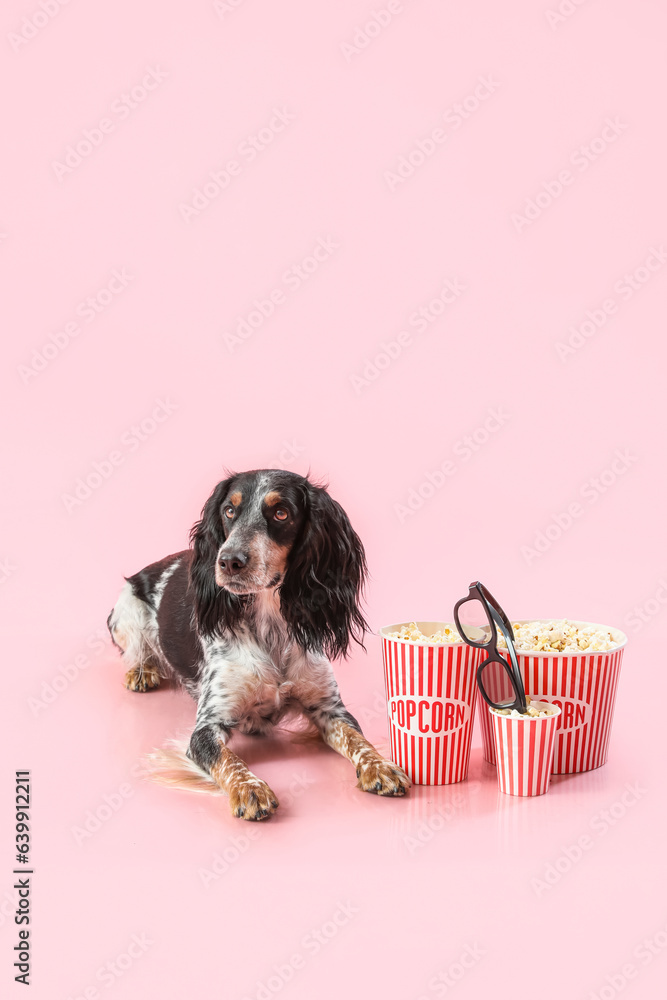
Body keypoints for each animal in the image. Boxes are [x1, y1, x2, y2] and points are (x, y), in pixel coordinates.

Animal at [107, 468, 410, 820]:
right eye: (229, 510)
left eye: (281, 513)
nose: (228, 561)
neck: (270, 627)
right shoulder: (206, 726)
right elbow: (229, 760)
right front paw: (249, 788)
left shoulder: (330, 708)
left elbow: (359, 740)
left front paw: (382, 766)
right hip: (125, 611)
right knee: (136, 650)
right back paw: (142, 671)